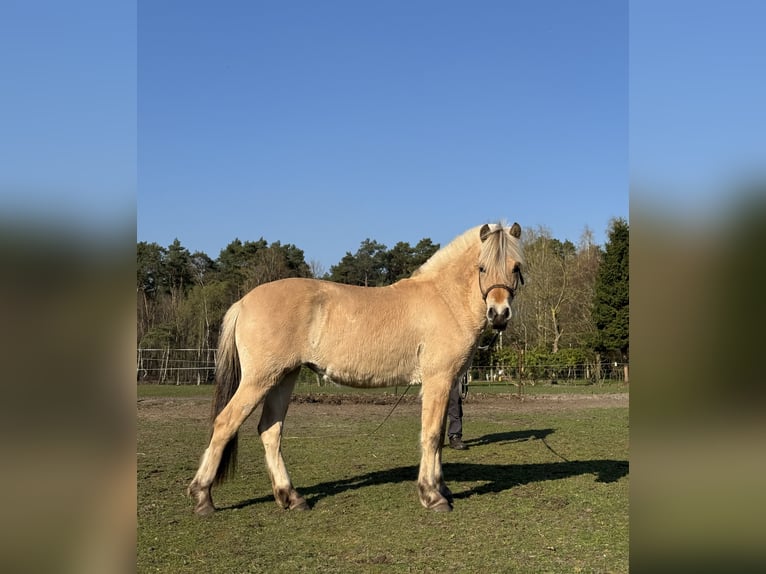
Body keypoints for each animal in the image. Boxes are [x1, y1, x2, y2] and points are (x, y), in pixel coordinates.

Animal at [188, 221, 525, 513]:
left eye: (516, 267)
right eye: (482, 267)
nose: (498, 314)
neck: (444, 299)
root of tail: (244, 302)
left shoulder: (445, 382)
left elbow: (439, 436)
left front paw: (441, 489)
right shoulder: (438, 380)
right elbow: (430, 435)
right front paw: (432, 495)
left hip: (283, 377)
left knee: (270, 431)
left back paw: (291, 497)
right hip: (259, 379)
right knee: (225, 423)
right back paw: (203, 497)